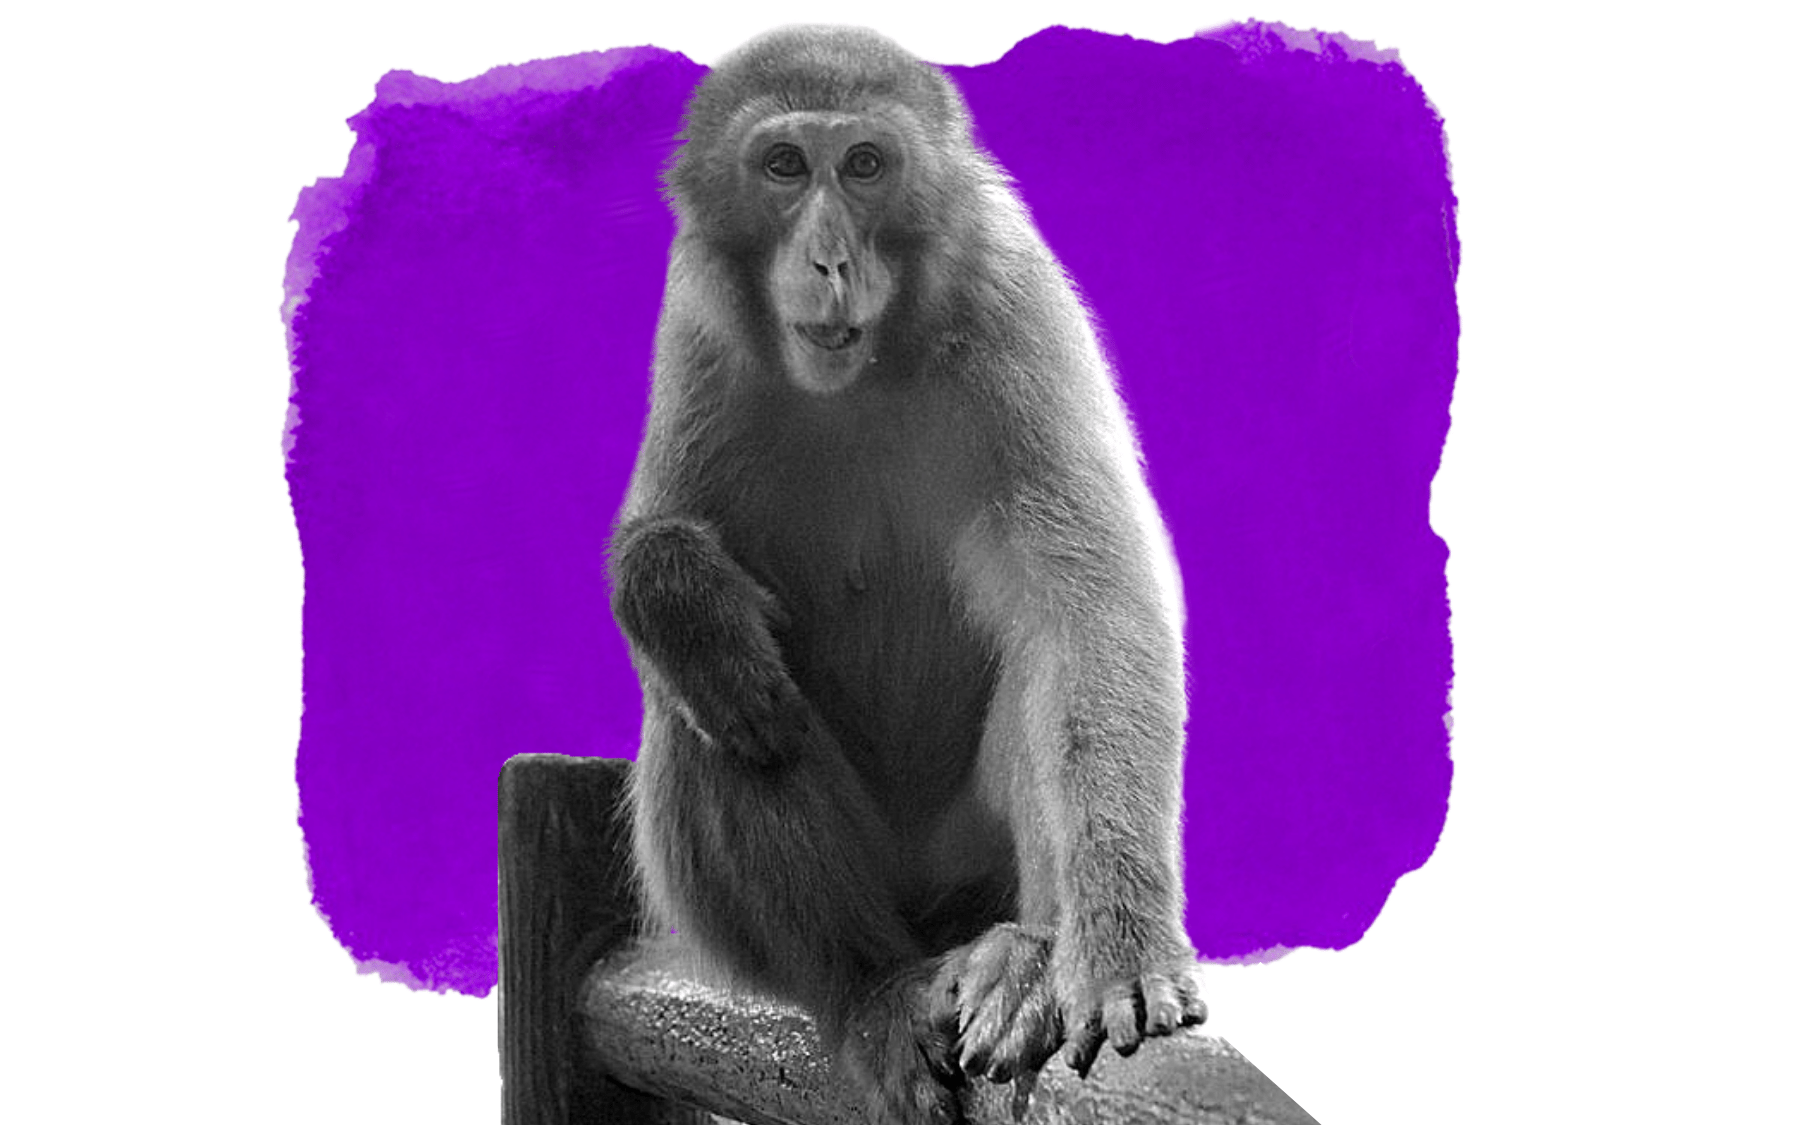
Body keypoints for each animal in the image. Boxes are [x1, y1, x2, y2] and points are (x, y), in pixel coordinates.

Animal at [608, 26, 1206, 1125]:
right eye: (784, 165)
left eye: (866, 165)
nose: (831, 260)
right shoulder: (699, 327)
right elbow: (658, 537)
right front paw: (683, 598)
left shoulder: (1012, 301)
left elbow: (1086, 623)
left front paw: (1120, 946)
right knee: (714, 710)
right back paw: (870, 987)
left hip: (971, 867)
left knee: (1042, 675)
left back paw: (1029, 958)